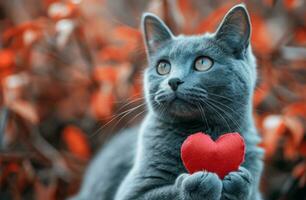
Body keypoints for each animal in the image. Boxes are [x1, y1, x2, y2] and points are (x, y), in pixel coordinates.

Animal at [71, 3, 262, 200]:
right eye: (163, 67)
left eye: (203, 63)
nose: (174, 81)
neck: (200, 129)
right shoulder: (132, 191)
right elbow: (164, 192)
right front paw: (201, 183)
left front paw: (239, 181)